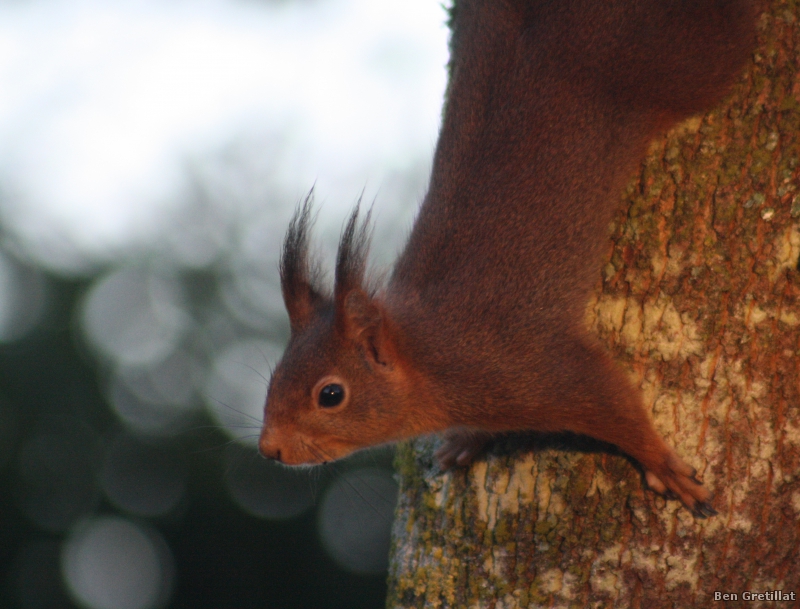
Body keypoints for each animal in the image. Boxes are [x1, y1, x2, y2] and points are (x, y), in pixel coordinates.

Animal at [260, 0, 756, 516]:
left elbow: (615, 403)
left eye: (330, 395)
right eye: (275, 375)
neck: (425, 355)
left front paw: (664, 465)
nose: (270, 448)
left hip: (688, 61)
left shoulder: (525, 367)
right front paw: (468, 440)